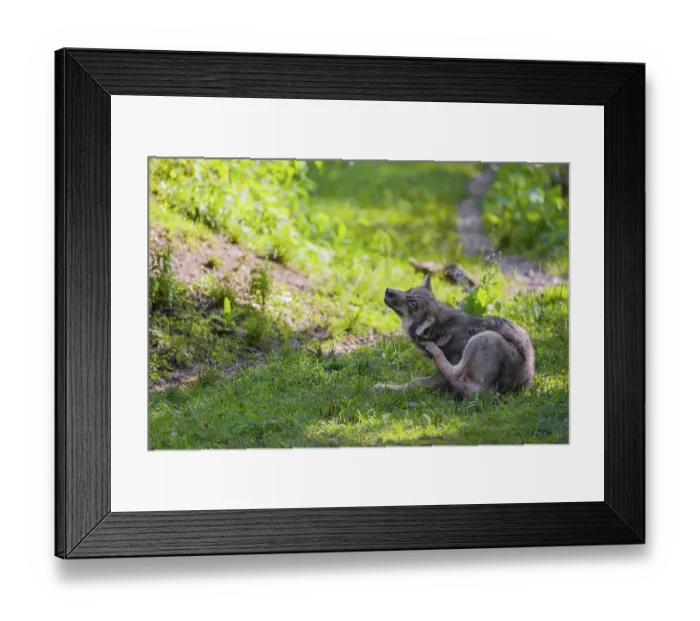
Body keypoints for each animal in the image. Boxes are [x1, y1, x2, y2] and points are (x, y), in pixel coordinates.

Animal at [375, 274, 535, 397]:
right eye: (409, 290)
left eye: (413, 303)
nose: (388, 291)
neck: (439, 331)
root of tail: (527, 383)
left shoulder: (441, 377)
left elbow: (414, 382)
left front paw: (385, 387)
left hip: (484, 338)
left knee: (464, 383)